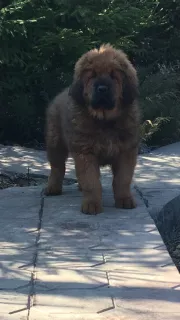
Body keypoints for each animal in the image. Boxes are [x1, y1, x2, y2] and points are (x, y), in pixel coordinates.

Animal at [44, 44, 139, 215]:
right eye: (92, 76)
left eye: (113, 76)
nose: (102, 88)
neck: (104, 121)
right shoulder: (85, 152)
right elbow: (91, 181)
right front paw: (92, 204)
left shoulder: (126, 151)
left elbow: (122, 179)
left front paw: (124, 199)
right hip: (55, 143)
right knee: (57, 168)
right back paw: (53, 188)